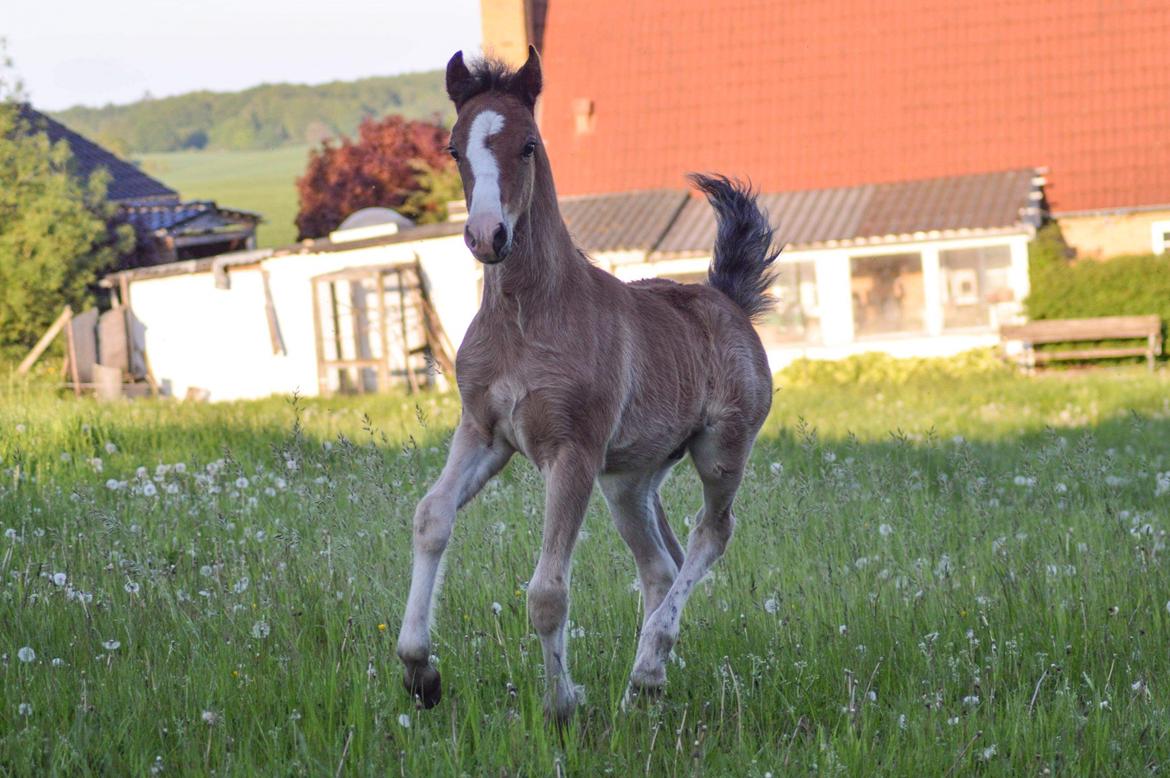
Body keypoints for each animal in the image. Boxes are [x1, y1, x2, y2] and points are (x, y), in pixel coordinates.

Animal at [400, 45, 776, 720]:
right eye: (452, 148)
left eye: (528, 144)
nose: (487, 236)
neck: (527, 315)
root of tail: (728, 299)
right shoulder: (483, 431)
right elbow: (431, 517)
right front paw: (421, 672)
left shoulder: (571, 451)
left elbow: (547, 590)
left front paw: (562, 704)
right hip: (628, 479)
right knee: (660, 563)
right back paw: (641, 683)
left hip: (720, 450)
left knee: (712, 533)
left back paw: (647, 669)